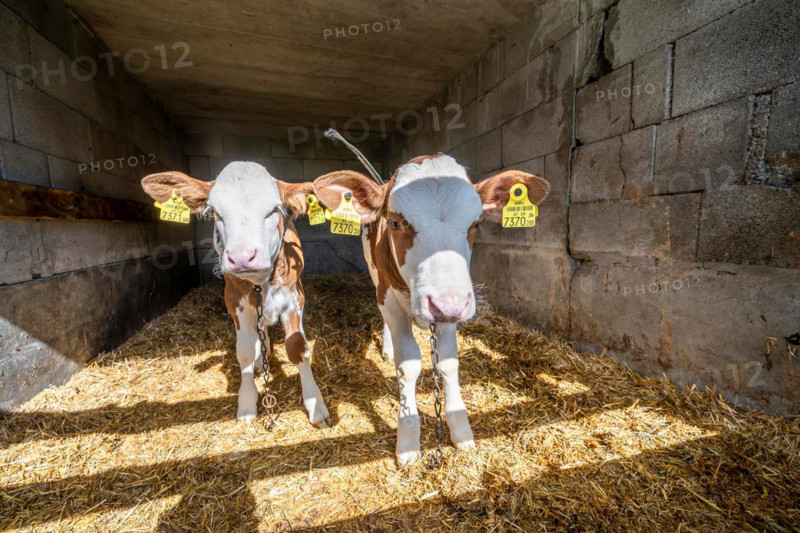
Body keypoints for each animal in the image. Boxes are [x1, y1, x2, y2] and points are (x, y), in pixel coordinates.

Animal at [141, 162, 330, 427]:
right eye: (215, 211)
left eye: (274, 209)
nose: (242, 257)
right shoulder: (233, 301)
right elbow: (245, 352)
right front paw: (247, 401)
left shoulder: (295, 296)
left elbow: (297, 348)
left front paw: (315, 405)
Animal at [312, 154, 550, 465]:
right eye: (395, 222)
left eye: (476, 223)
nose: (447, 303)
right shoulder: (390, 296)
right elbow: (408, 364)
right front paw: (408, 438)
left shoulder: (450, 310)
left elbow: (448, 362)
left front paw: (460, 429)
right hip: (375, 275)